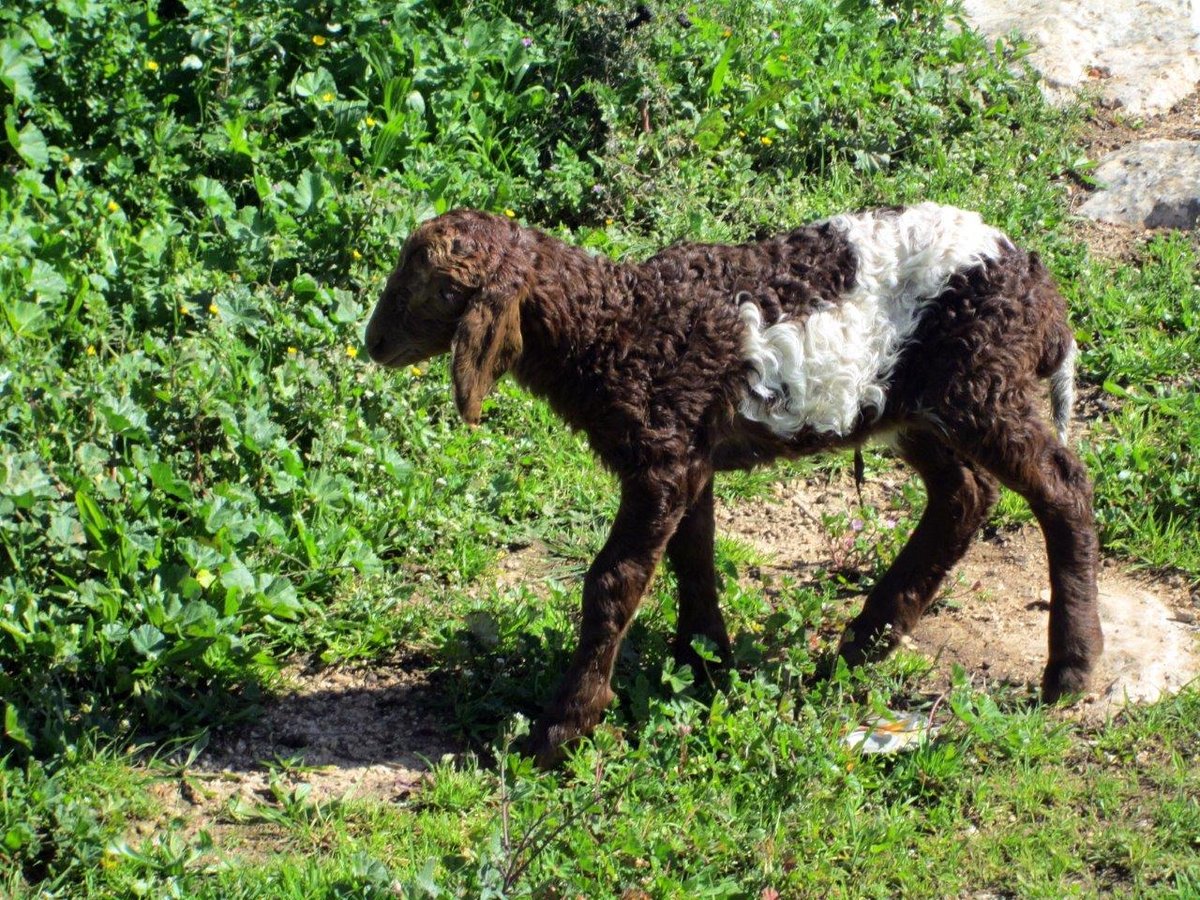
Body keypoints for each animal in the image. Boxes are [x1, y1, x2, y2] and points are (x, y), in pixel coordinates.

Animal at [364, 204, 1104, 768]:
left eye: (438, 290)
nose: (373, 343)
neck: (616, 327)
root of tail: (1040, 286)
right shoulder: (687, 457)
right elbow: (693, 558)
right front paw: (703, 665)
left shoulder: (661, 456)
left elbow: (613, 580)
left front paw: (562, 728)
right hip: (915, 403)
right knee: (964, 496)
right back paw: (863, 645)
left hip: (983, 382)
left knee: (1064, 488)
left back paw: (1070, 668)